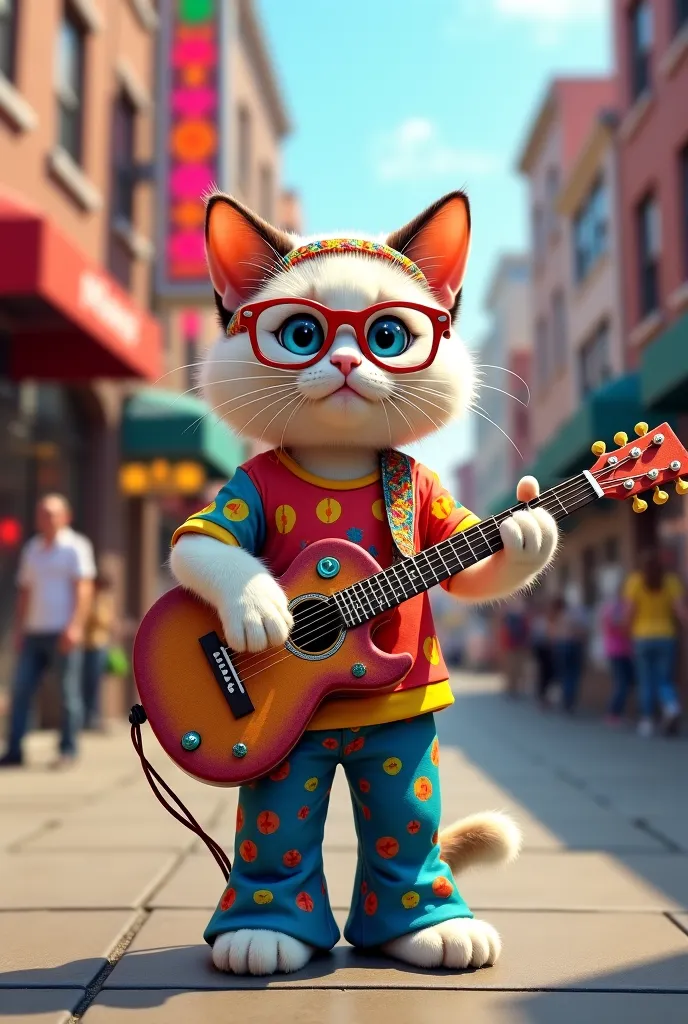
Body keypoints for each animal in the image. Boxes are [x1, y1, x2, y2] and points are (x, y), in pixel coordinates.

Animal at [167, 190, 556, 974]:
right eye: (301, 334)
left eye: (387, 335)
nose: (346, 360)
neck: (337, 460)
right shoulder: (237, 493)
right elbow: (200, 542)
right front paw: (261, 611)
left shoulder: (430, 498)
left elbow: (480, 569)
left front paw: (533, 527)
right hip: (281, 760)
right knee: (278, 824)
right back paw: (261, 937)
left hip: (401, 749)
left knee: (404, 815)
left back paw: (435, 932)